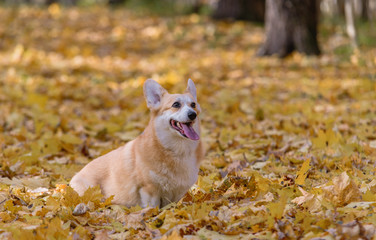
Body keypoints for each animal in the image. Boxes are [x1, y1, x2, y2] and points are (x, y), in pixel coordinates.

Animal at [68, 79, 203, 208]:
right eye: (176, 104)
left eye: (193, 104)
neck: (177, 150)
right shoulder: (149, 190)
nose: (193, 114)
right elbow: (153, 208)